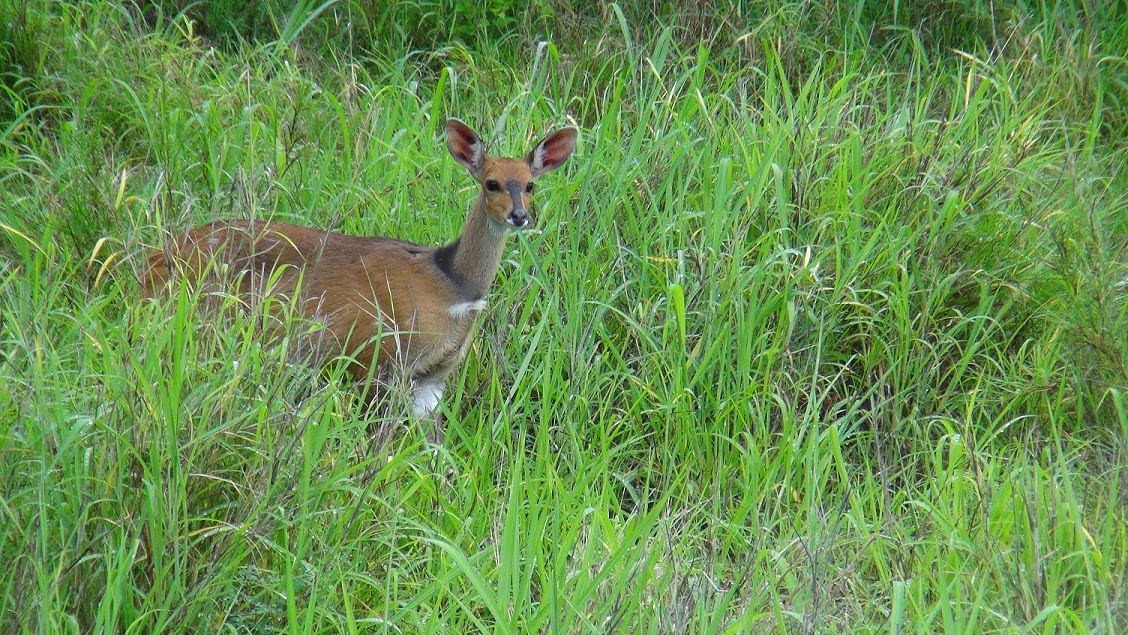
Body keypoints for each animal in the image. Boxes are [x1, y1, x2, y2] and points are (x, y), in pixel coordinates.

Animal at [139, 117, 577, 437]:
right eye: (492, 183)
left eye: (531, 185)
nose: (519, 216)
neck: (450, 286)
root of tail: (150, 261)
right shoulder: (381, 362)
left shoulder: (432, 378)